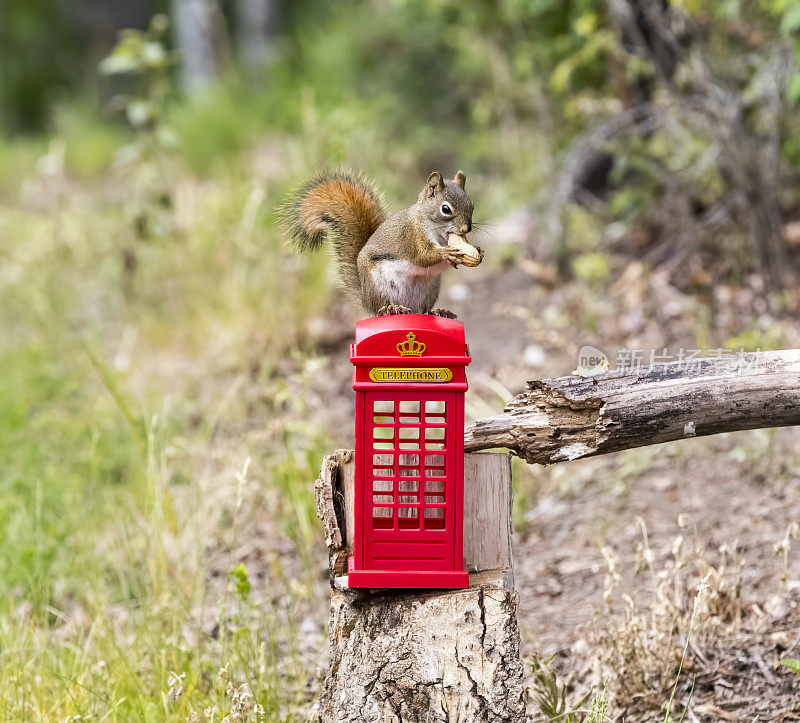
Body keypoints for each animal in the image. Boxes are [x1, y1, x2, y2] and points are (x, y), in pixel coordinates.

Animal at [282, 171, 482, 318]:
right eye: (445, 209)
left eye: (471, 206)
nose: (466, 228)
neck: (439, 235)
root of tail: (365, 300)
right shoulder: (411, 236)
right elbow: (421, 257)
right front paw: (448, 253)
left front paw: (478, 251)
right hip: (378, 285)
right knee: (381, 308)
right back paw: (392, 309)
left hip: (430, 290)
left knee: (423, 311)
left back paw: (438, 312)